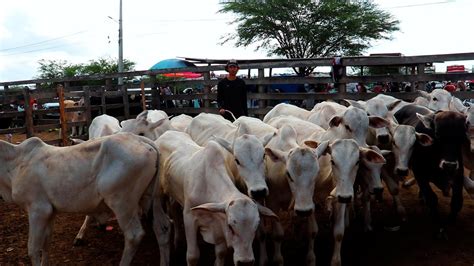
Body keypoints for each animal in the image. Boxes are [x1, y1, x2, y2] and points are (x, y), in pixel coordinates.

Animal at [0, 134, 170, 266]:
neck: (15, 162)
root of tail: (142, 140)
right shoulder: (50, 212)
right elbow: (46, 244)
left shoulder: (38, 210)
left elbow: (33, 249)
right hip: (150, 200)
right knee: (162, 228)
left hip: (122, 203)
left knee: (134, 236)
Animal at [156, 130, 276, 264]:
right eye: (230, 226)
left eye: (256, 227)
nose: (245, 262)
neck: (207, 184)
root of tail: (167, 132)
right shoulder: (189, 218)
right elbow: (192, 256)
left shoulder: (219, 222)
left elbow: (221, 253)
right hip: (158, 193)